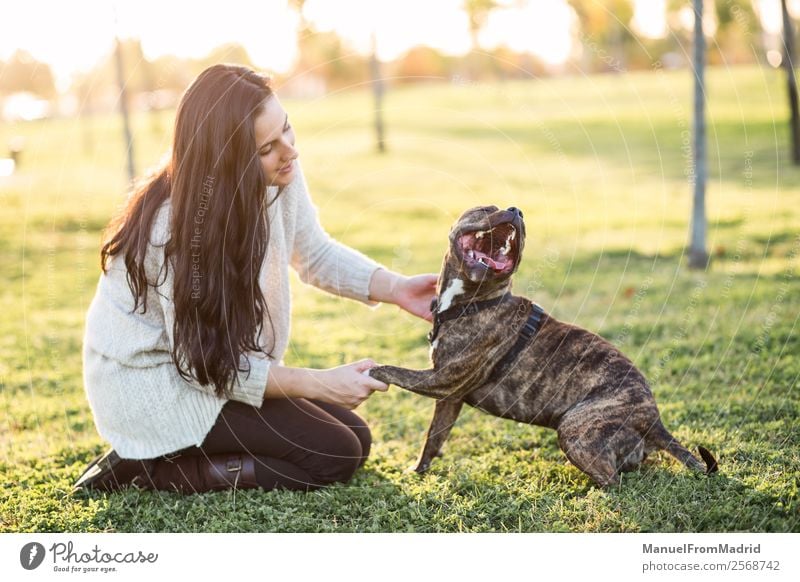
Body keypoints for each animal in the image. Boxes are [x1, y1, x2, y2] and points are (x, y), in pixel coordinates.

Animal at [370, 205, 720, 488]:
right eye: (487, 208)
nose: (516, 210)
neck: (471, 300)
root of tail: (654, 420)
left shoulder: (442, 380)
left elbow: (397, 371)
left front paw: (373, 370)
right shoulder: (449, 397)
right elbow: (432, 440)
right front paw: (418, 472)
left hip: (576, 430)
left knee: (614, 482)